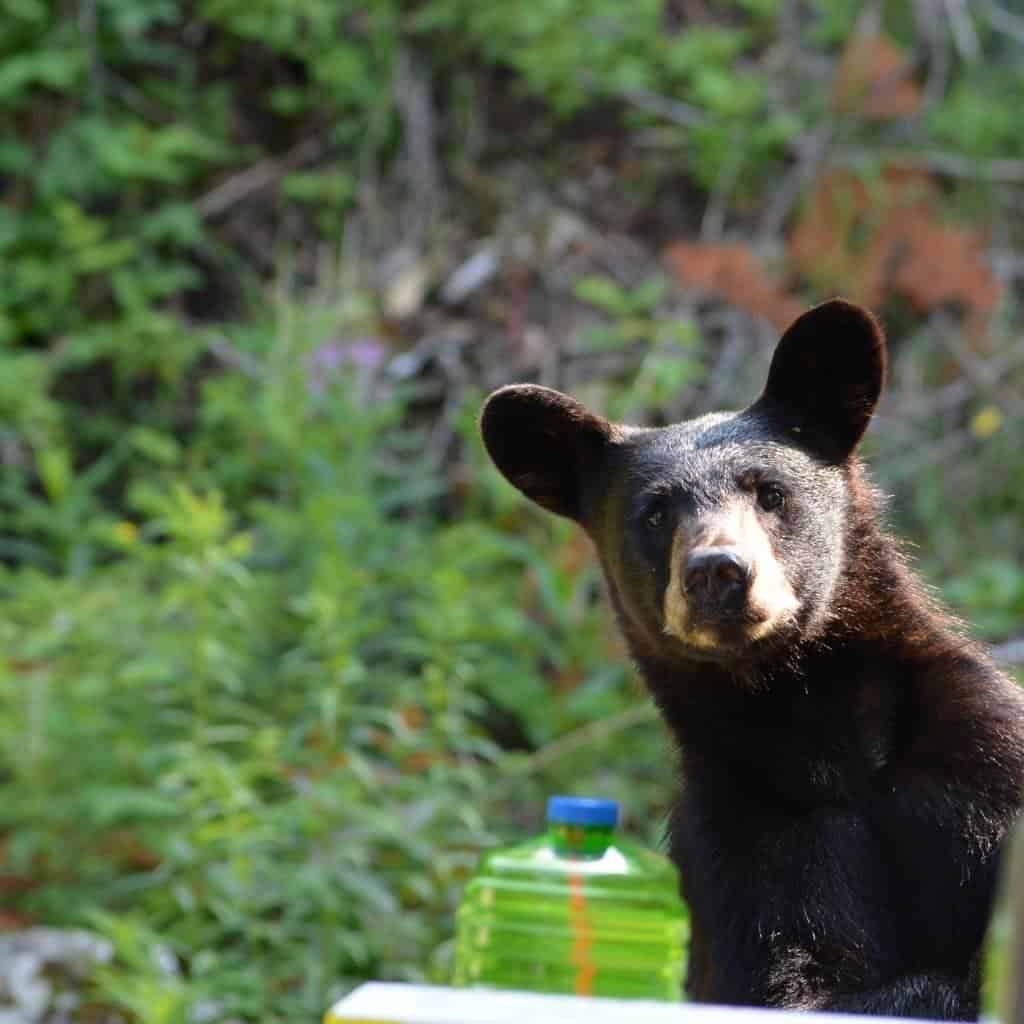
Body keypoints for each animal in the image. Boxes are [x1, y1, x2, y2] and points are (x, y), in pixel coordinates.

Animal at [483, 296, 1024, 1015]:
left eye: (770, 492)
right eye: (653, 514)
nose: (718, 572)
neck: (817, 728)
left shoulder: (983, 761)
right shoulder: (736, 844)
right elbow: (784, 978)